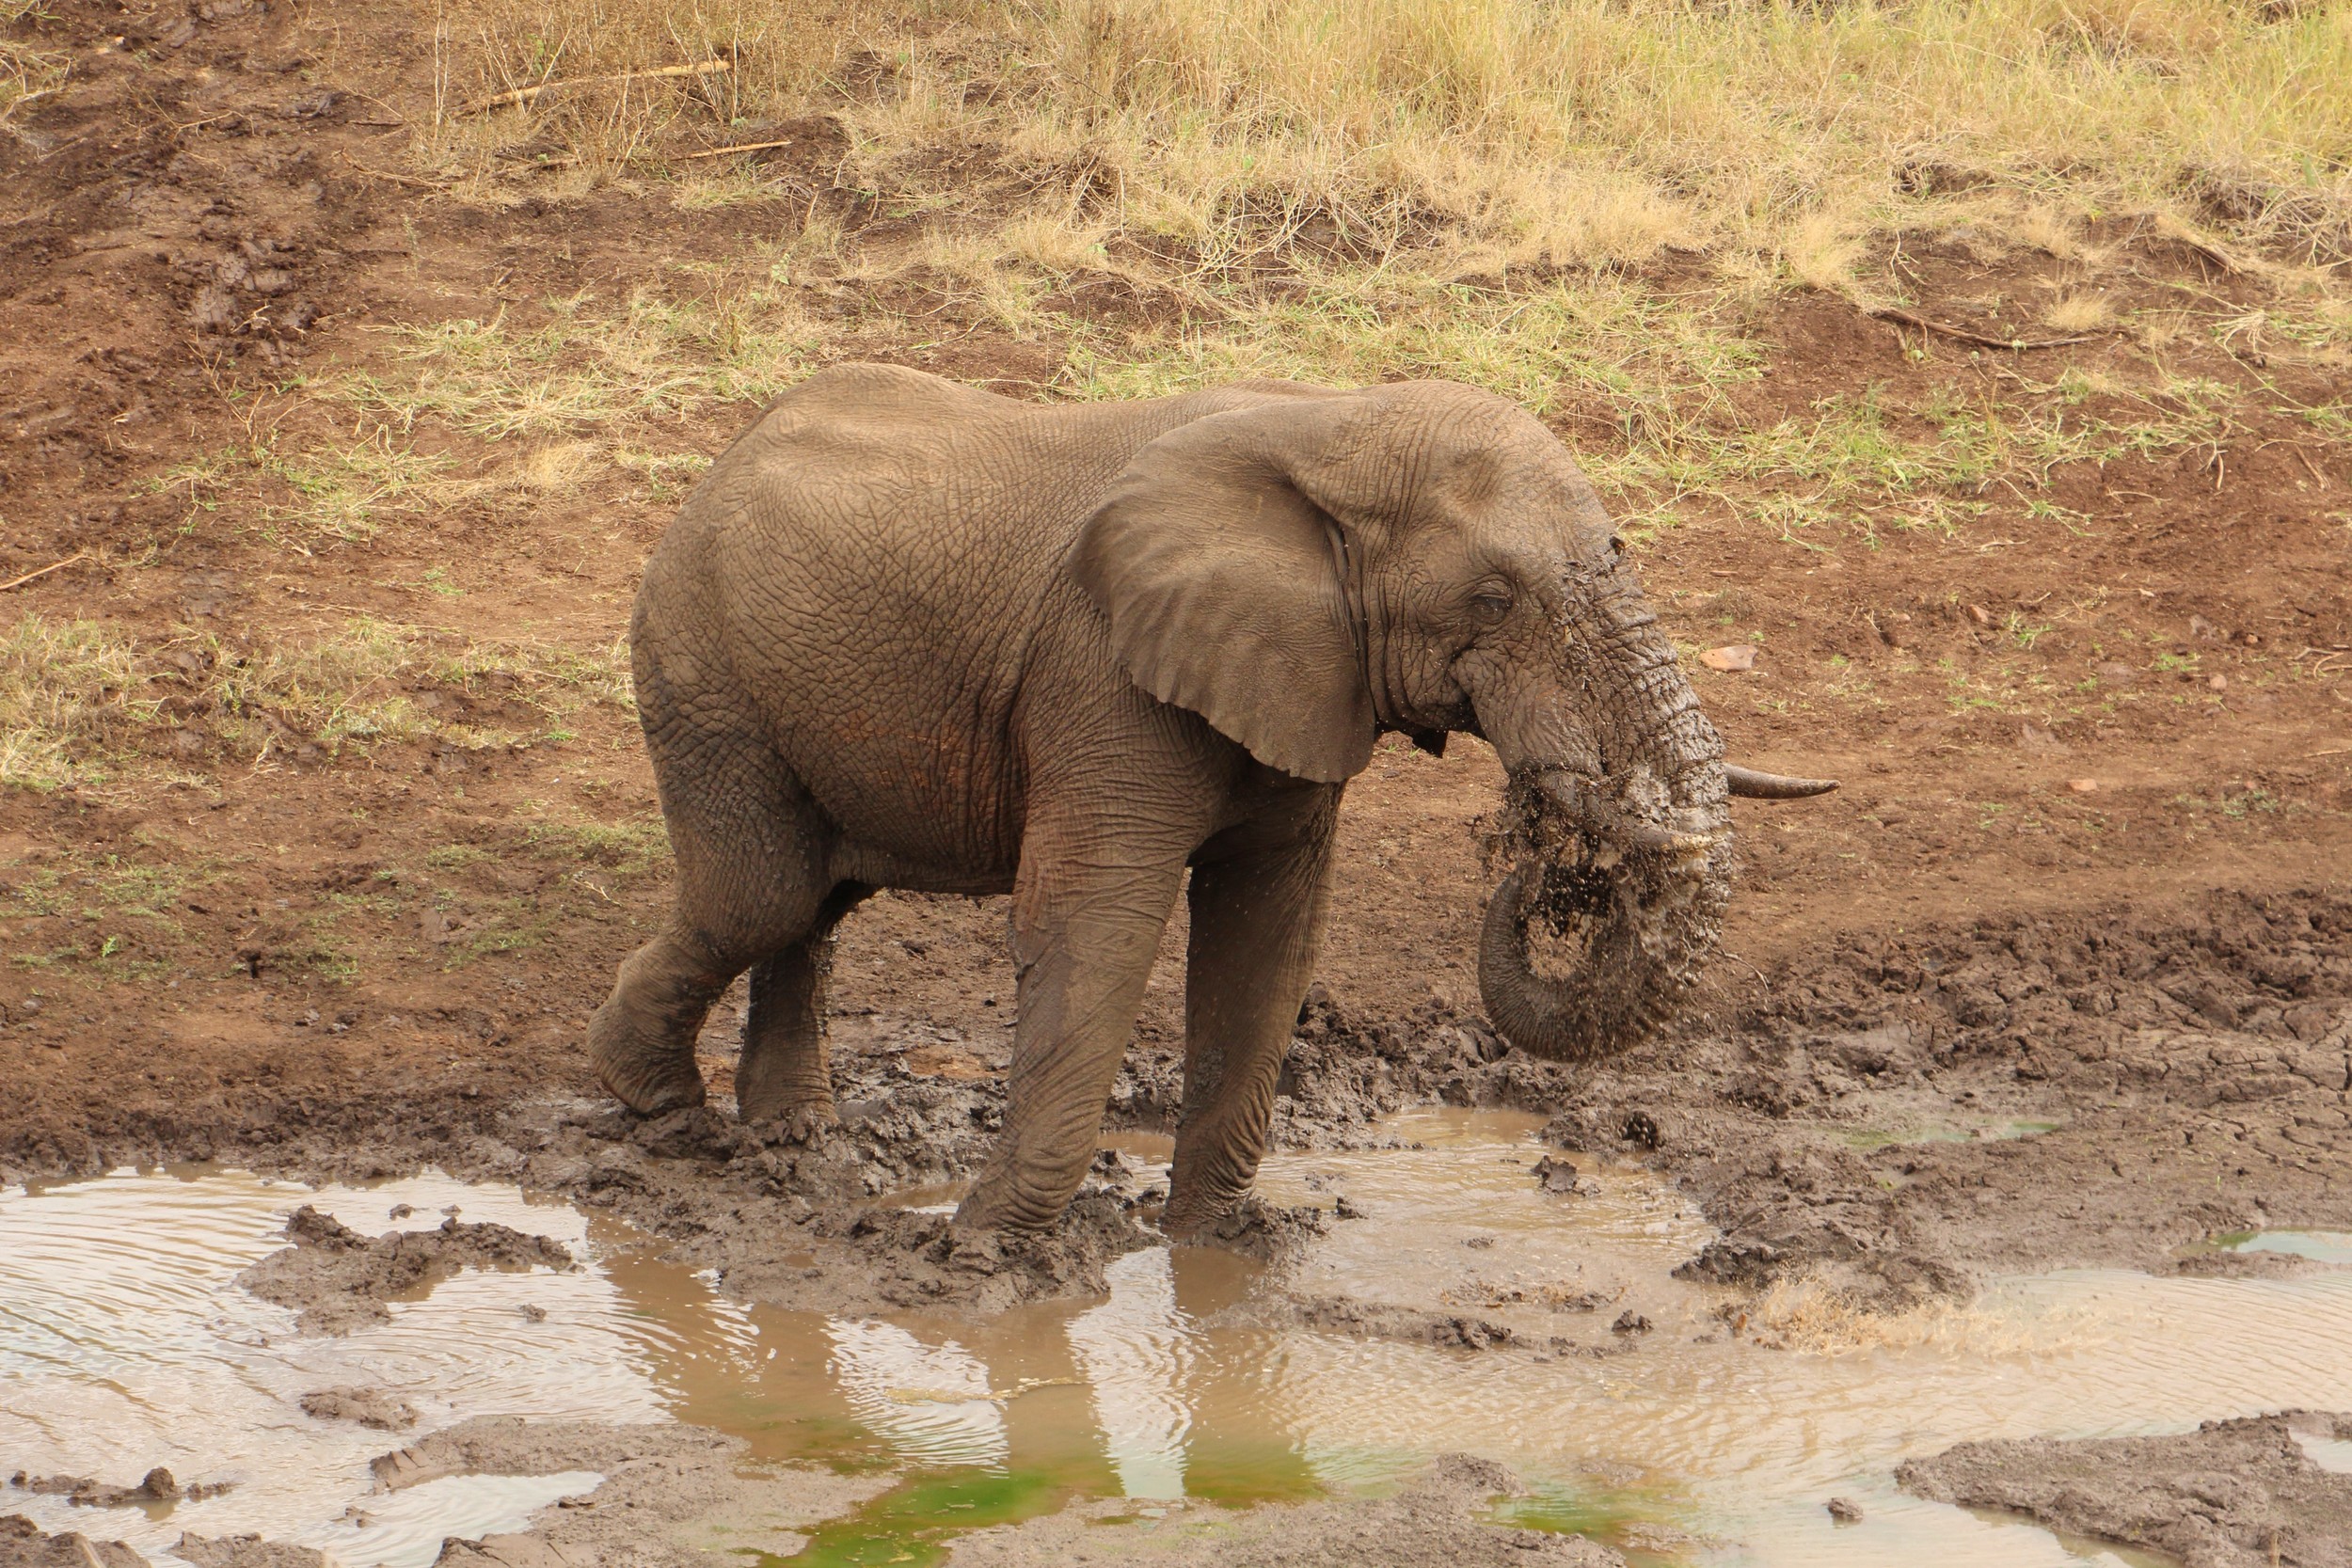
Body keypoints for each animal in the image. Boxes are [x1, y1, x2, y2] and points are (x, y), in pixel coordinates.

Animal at [593, 369, 1835, 1241]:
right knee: (765, 891)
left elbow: (1268, 934)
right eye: (1493, 597)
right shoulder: (1100, 672)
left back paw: (789, 1134)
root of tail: (718, 462)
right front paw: (982, 1253)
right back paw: (663, 1113)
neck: (1333, 423)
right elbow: (1096, 926)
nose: (1539, 864)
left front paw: (1222, 1245)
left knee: (817, 900)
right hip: (700, 660)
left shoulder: (1300, 679)